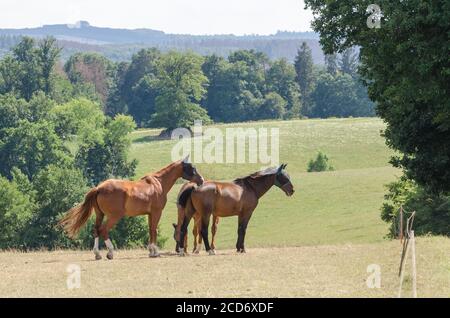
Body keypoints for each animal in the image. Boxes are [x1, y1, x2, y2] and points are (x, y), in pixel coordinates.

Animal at [59, 157, 203, 260]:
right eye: (192, 168)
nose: (201, 180)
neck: (158, 183)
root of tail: (99, 188)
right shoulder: (157, 212)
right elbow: (154, 230)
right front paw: (155, 252)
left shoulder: (149, 214)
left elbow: (150, 230)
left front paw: (151, 251)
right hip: (114, 216)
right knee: (103, 230)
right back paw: (110, 253)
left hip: (100, 215)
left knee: (96, 231)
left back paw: (98, 254)